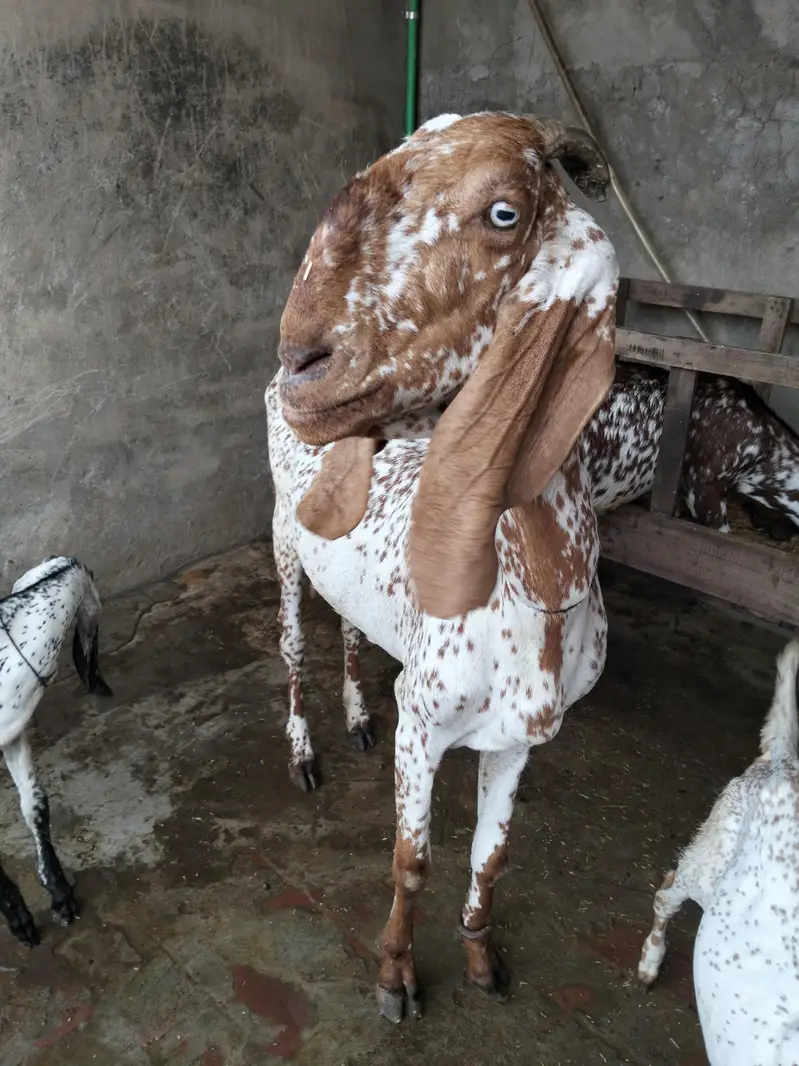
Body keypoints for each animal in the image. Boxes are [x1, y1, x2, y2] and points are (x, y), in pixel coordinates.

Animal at [267, 110, 619, 1021]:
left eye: (502, 213)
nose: (301, 364)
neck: (536, 597)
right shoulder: (423, 723)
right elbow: (412, 860)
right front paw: (394, 978)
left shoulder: (519, 741)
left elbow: (491, 857)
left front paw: (482, 960)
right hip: (283, 544)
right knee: (290, 649)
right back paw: (304, 752)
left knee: (350, 634)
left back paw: (355, 715)